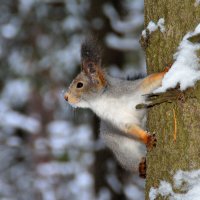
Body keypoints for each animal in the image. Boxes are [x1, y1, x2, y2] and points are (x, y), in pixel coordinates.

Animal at [64, 38, 167, 178]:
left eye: (79, 85)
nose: (65, 97)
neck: (102, 100)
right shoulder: (118, 121)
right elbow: (130, 130)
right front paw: (147, 139)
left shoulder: (133, 90)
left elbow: (149, 81)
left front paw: (168, 70)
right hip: (123, 152)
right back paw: (141, 166)